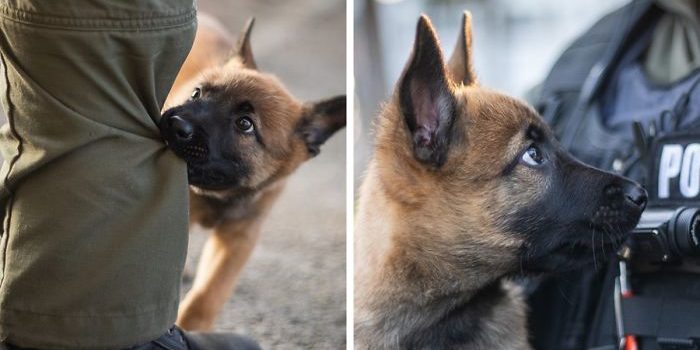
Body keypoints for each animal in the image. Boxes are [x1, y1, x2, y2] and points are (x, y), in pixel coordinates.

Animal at [159, 15, 344, 330]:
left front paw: (191, 326)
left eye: (245, 124)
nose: (175, 124)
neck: (223, 196)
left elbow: (210, 292)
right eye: (197, 93)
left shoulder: (239, 239)